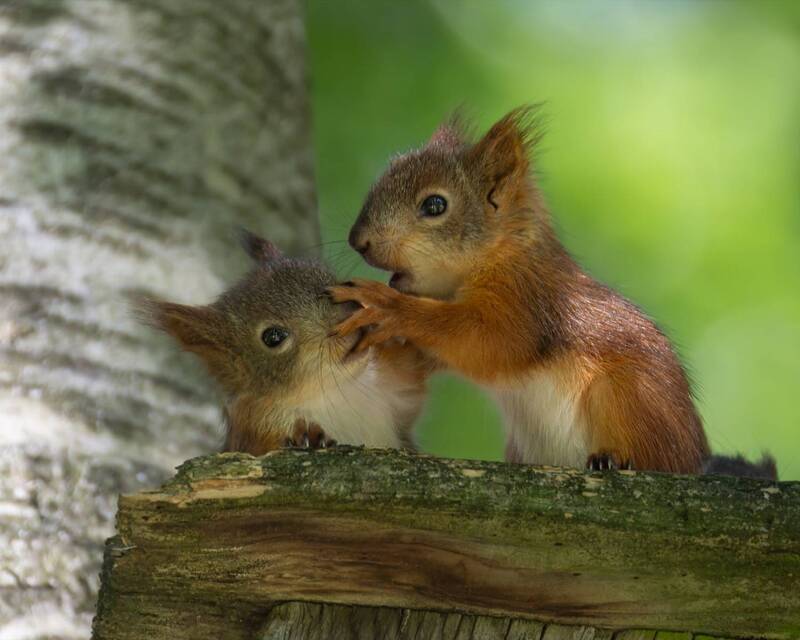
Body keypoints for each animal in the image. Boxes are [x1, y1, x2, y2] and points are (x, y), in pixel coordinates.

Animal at [139, 230, 430, 456]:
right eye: (273, 337)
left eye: (327, 278)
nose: (349, 315)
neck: (334, 392)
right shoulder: (255, 430)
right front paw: (309, 436)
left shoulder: (392, 390)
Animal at [329, 106, 776, 478]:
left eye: (435, 205)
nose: (358, 240)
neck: (501, 254)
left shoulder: (528, 301)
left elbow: (488, 340)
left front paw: (390, 307)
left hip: (625, 395)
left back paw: (613, 459)